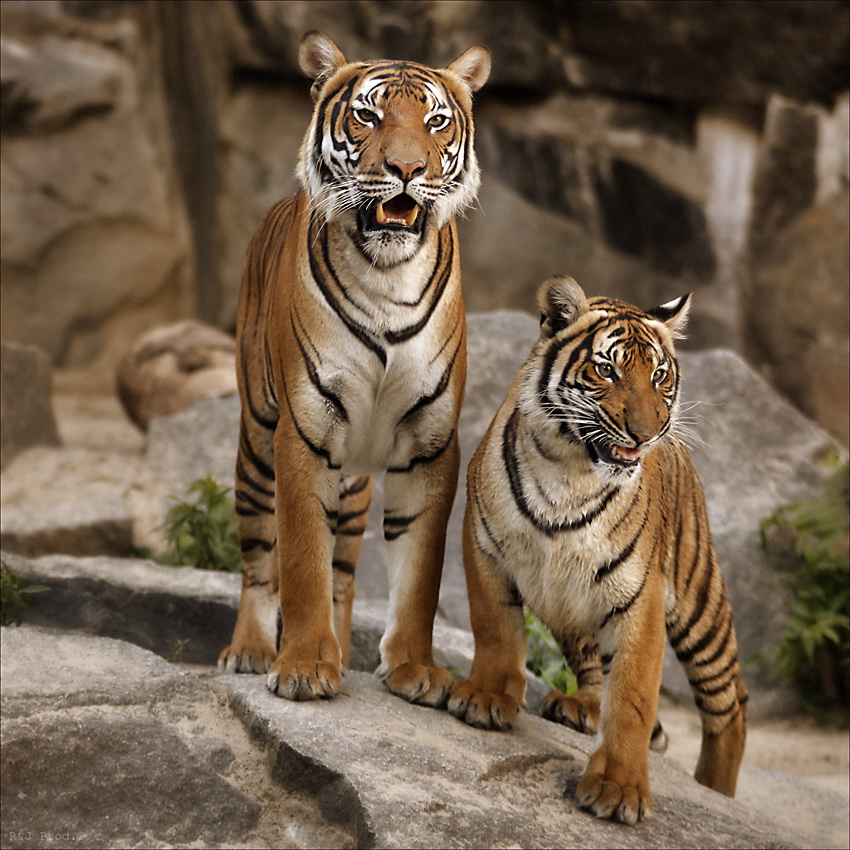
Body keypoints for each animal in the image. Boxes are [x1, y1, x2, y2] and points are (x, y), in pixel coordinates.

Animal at [215, 31, 486, 708]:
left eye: (435, 122)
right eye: (368, 115)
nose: (407, 171)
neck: (387, 275)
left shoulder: (431, 441)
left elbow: (417, 571)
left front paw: (414, 669)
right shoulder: (304, 431)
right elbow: (300, 559)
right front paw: (303, 666)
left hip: (356, 478)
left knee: (343, 571)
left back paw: (340, 648)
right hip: (256, 440)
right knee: (259, 557)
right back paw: (252, 649)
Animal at [448, 274, 744, 820]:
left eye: (660, 376)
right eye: (607, 370)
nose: (647, 434)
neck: (569, 470)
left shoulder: (640, 598)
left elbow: (632, 698)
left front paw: (618, 789)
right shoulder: (485, 548)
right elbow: (495, 630)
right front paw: (484, 697)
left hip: (700, 604)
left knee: (731, 703)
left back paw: (717, 789)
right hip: (571, 606)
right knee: (589, 661)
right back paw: (580, 706)